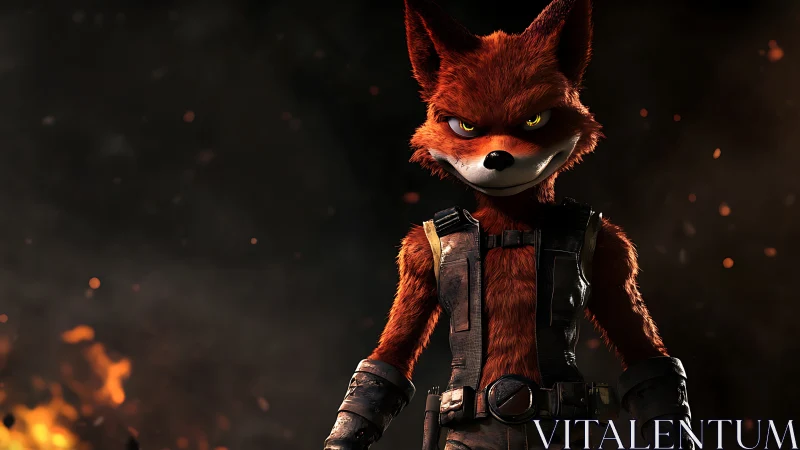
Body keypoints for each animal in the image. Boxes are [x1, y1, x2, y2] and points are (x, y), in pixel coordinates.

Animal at [324, 0, 695, 449]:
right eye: (465, 127)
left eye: (535, 120)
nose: (498, 158)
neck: (510, 219)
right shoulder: (418, 254)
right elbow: (387, 362)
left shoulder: (609, 247)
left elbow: (646, 358)